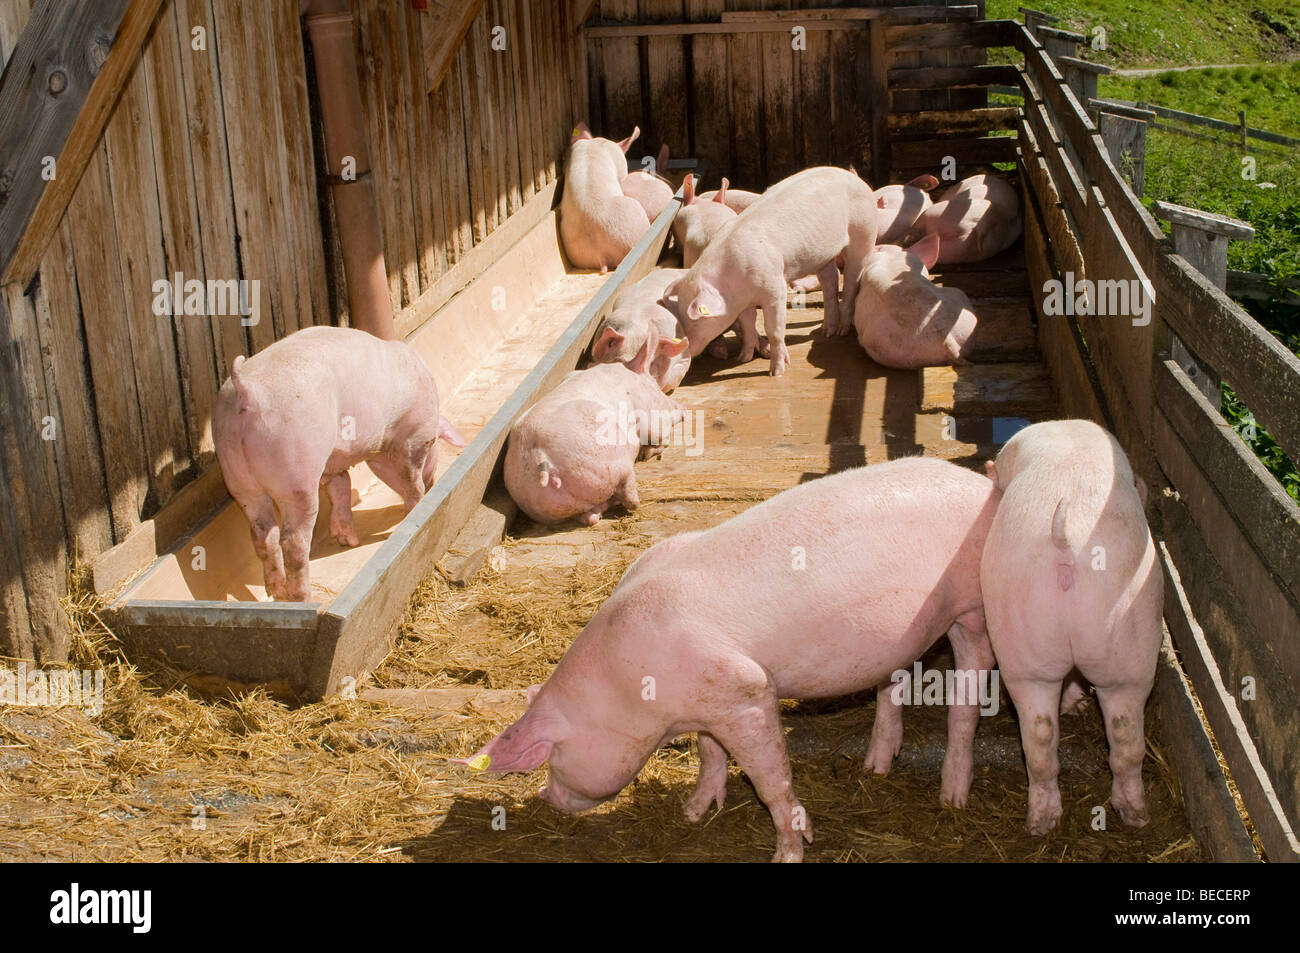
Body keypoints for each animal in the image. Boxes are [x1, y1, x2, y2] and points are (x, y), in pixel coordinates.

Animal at [212, 326, 465, 602]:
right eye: (434, 443)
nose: (433, 483)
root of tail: (246, 389)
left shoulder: (334, 461)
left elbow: (342, 485)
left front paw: (348, 540)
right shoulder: (412, 438)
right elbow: (410, 479)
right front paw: (417, 506)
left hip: (237, 475)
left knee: (262, 535)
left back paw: (278, 593)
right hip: (296, 473)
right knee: (293, 542)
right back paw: (303, 598)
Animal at [458, 457, 999, 861]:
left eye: (553, 757)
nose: (546, 796)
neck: (634, 692)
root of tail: (985, 485)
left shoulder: (746, 690)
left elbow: (771, 780)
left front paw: (789, 851)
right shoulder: (707, 704)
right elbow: (708, 751)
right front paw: (694, 812)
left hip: (973, 607)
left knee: (967, 697)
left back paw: (952, 797)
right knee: (896, 680)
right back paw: (875, 767)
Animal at [504, 326, 686, 525]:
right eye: (655, 384)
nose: (681, 408)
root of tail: (540, 459)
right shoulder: (650, 418)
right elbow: (660, 436)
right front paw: (649, 452)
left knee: (590, 517)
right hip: (615, 461)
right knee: (629, 496)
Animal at [666, 166, 878, 375]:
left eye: (696, 320)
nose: (686, 349)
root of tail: (856, 178)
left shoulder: (775, 289)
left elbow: (773, 329)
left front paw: (777, 372)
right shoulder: (742, 302)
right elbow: (748, 325)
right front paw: (743, 358)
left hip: (863, 231)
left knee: (851, 280)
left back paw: (842, 330)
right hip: (821, 254)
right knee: (830, 278)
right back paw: (827, 331)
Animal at [981, 419, 1163, 835]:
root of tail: (1067, 541)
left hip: (1032, 636)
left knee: (1047, 733)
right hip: (1129, 637)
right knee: (1118, 734)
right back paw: (1128, 816)